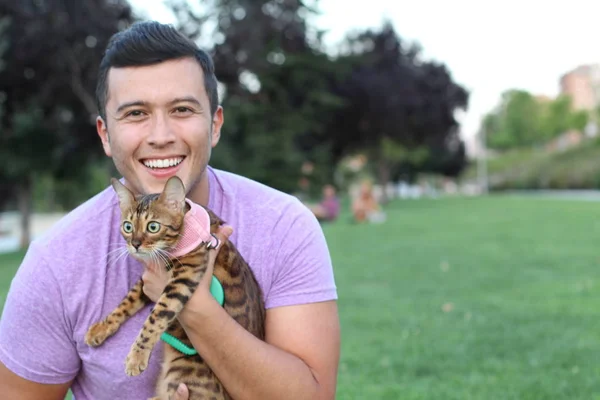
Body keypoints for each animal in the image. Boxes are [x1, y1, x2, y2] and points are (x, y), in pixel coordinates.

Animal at [84, 177, 264, 400]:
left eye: (153, 227)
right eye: (127, 226)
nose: (135, 244)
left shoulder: (185, 275)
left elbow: (156, 316)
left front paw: (136, 356)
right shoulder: (149, 277)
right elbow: (128, 301)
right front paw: (101, 328)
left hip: (182, 374)